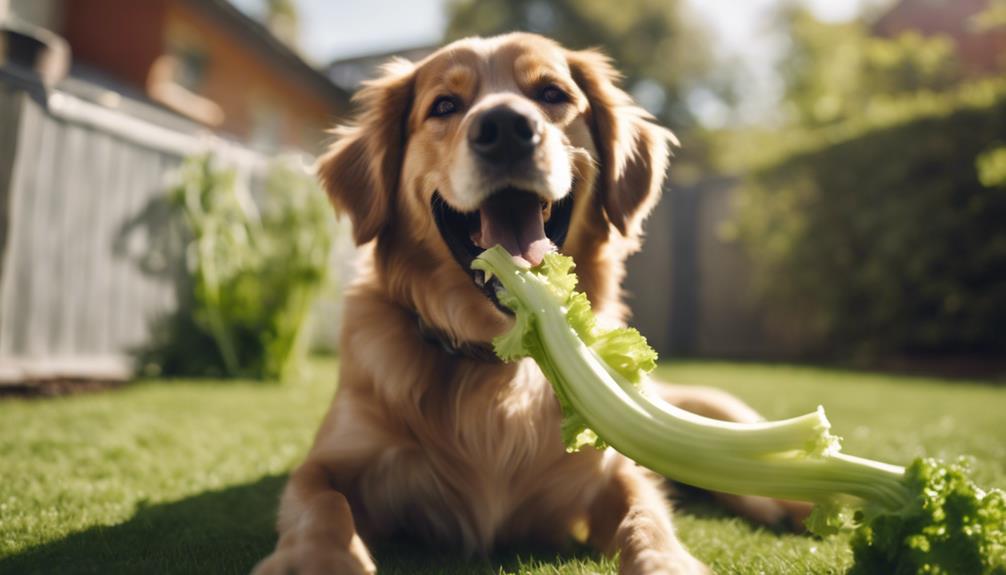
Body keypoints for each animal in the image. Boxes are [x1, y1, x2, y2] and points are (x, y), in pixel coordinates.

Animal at [253, 32, 808, 575]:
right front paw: (321, 561)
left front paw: (668, 564)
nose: (504, 128)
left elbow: (647, 518)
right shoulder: (327, 462)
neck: (495, 365)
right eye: (444, 105)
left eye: (552, 94)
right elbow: (323, 506)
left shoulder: (611, 470)